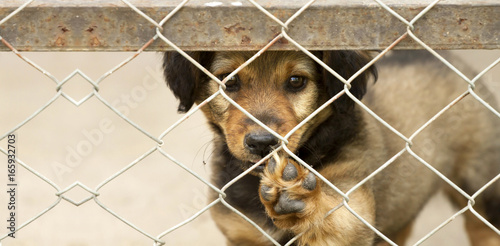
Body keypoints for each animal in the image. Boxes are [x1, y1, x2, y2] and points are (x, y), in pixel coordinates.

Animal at [162, 50, 498, 246]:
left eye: (296, 81)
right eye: (228, 81)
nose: (262, 143)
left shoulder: (353, 209)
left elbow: (333, 214)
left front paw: (298, 196)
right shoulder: (242, 235)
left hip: (482, 186)